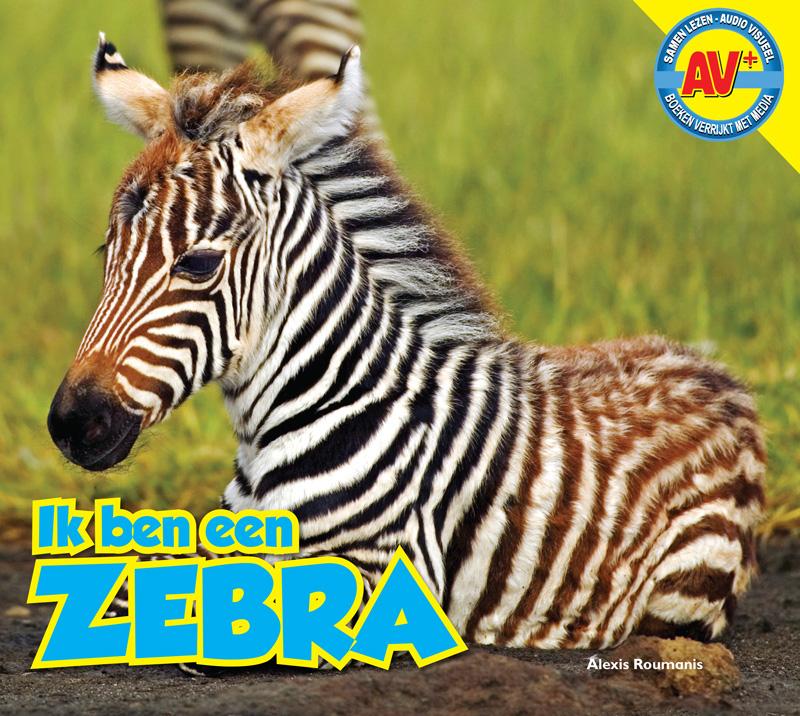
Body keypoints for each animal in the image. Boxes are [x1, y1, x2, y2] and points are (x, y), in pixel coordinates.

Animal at [47, 34, 766, 651]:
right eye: (108, 254)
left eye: (196, 264)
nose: (72, 424)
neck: (323, 406)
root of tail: (712, 372)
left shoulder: (374, 579)